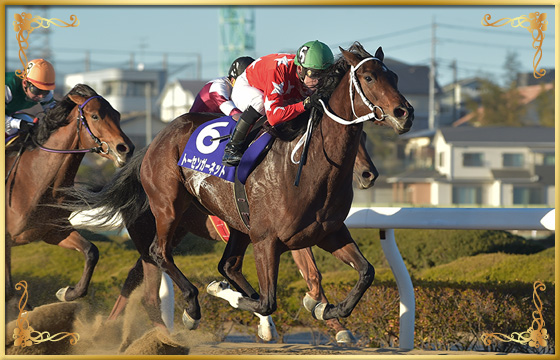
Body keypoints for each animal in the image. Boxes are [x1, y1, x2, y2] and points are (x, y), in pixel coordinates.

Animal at [5, 83, 133, 308]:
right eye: (95, 116)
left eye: (117, 115)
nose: (126, 149)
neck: (34, 182)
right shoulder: (6, 242)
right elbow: (10, 291)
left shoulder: (53, 231)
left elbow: (91, 251)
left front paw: (68, 292)